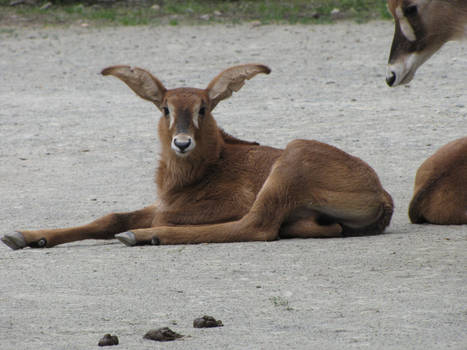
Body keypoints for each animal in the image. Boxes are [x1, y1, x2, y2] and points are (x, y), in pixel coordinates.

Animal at [0, 62, 394, 249]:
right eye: (165, 108)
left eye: (203, 108)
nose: (182, 143)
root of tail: (382, 196)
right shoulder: (160, 201)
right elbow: (112, 216)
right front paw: (25, 236)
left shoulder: (221, 202)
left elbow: (153, 217)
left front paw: (142, 231)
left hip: (290, 164)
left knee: (256, 226)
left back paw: (143, 237)